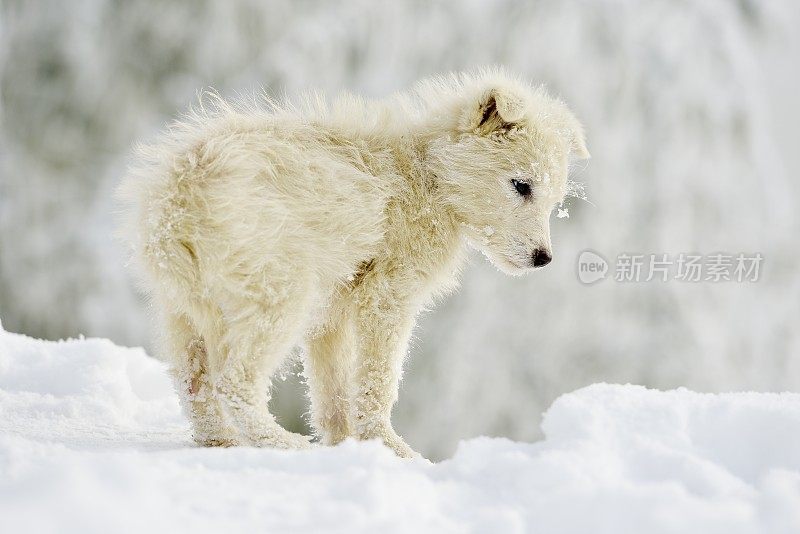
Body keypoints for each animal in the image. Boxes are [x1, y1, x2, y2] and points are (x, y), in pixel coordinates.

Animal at [122, 68, 592, 460]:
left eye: (553, 198)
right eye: (521, 185)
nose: (543, 259)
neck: (426, 175)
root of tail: (182, 191)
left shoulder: (332, 314)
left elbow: (332, 392)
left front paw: (346, 445)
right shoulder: (386, 297)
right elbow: (377, 381)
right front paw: (390, 450)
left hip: (182, 310)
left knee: (194, 383)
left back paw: (221, 442)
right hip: (279, 296)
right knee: (234, 383)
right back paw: (282, 444)